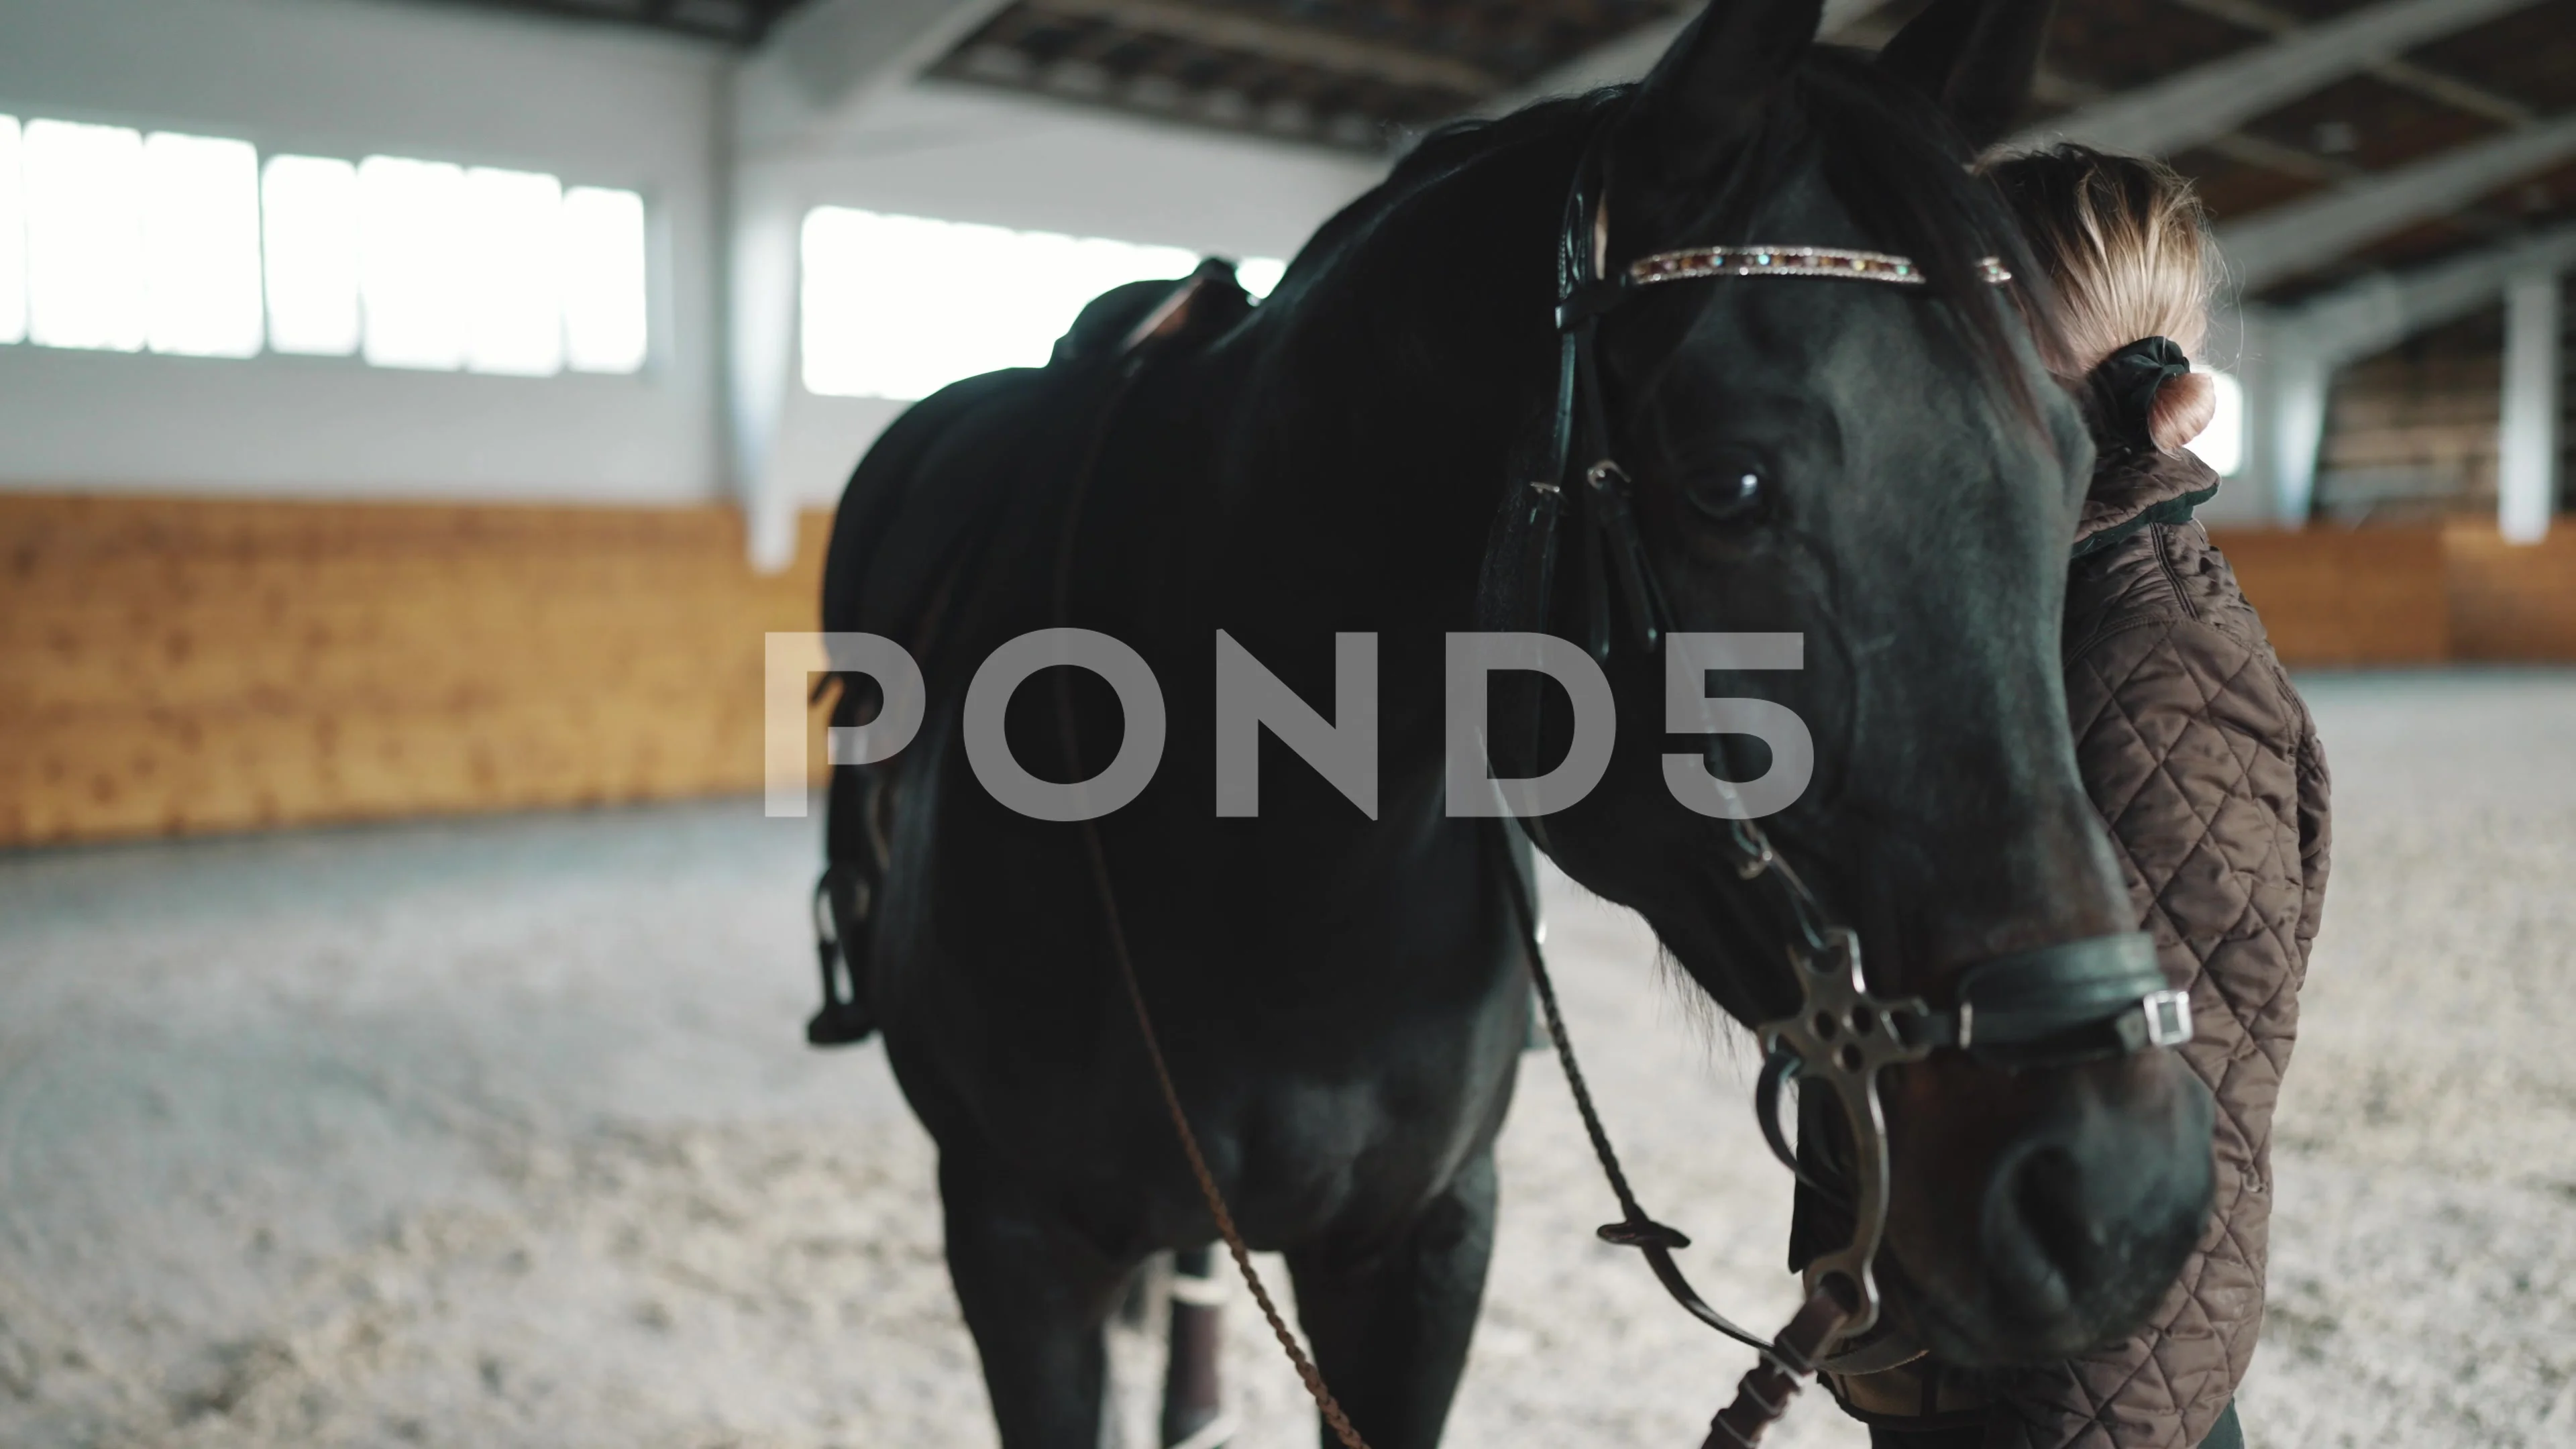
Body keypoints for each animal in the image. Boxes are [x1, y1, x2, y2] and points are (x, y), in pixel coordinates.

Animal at [819, 5, 2215, 1433]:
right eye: (1728, 486)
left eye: (2072, 468)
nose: (2117, 1192)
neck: (1256, 864)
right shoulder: (1018, 1253)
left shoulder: (1425, 1244)